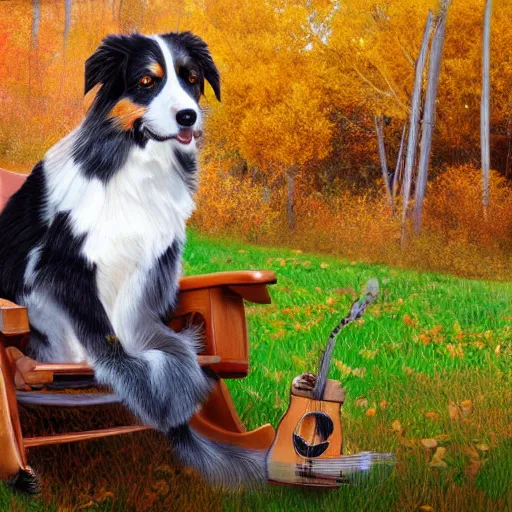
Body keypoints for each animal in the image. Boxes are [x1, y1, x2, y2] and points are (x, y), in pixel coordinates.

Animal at [1, 30, 268, 486]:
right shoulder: (65, 263)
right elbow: (103, 336)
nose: (188, 117)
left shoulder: (149, 265)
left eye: (191, 78)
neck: (138, 163)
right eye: (147, 81)